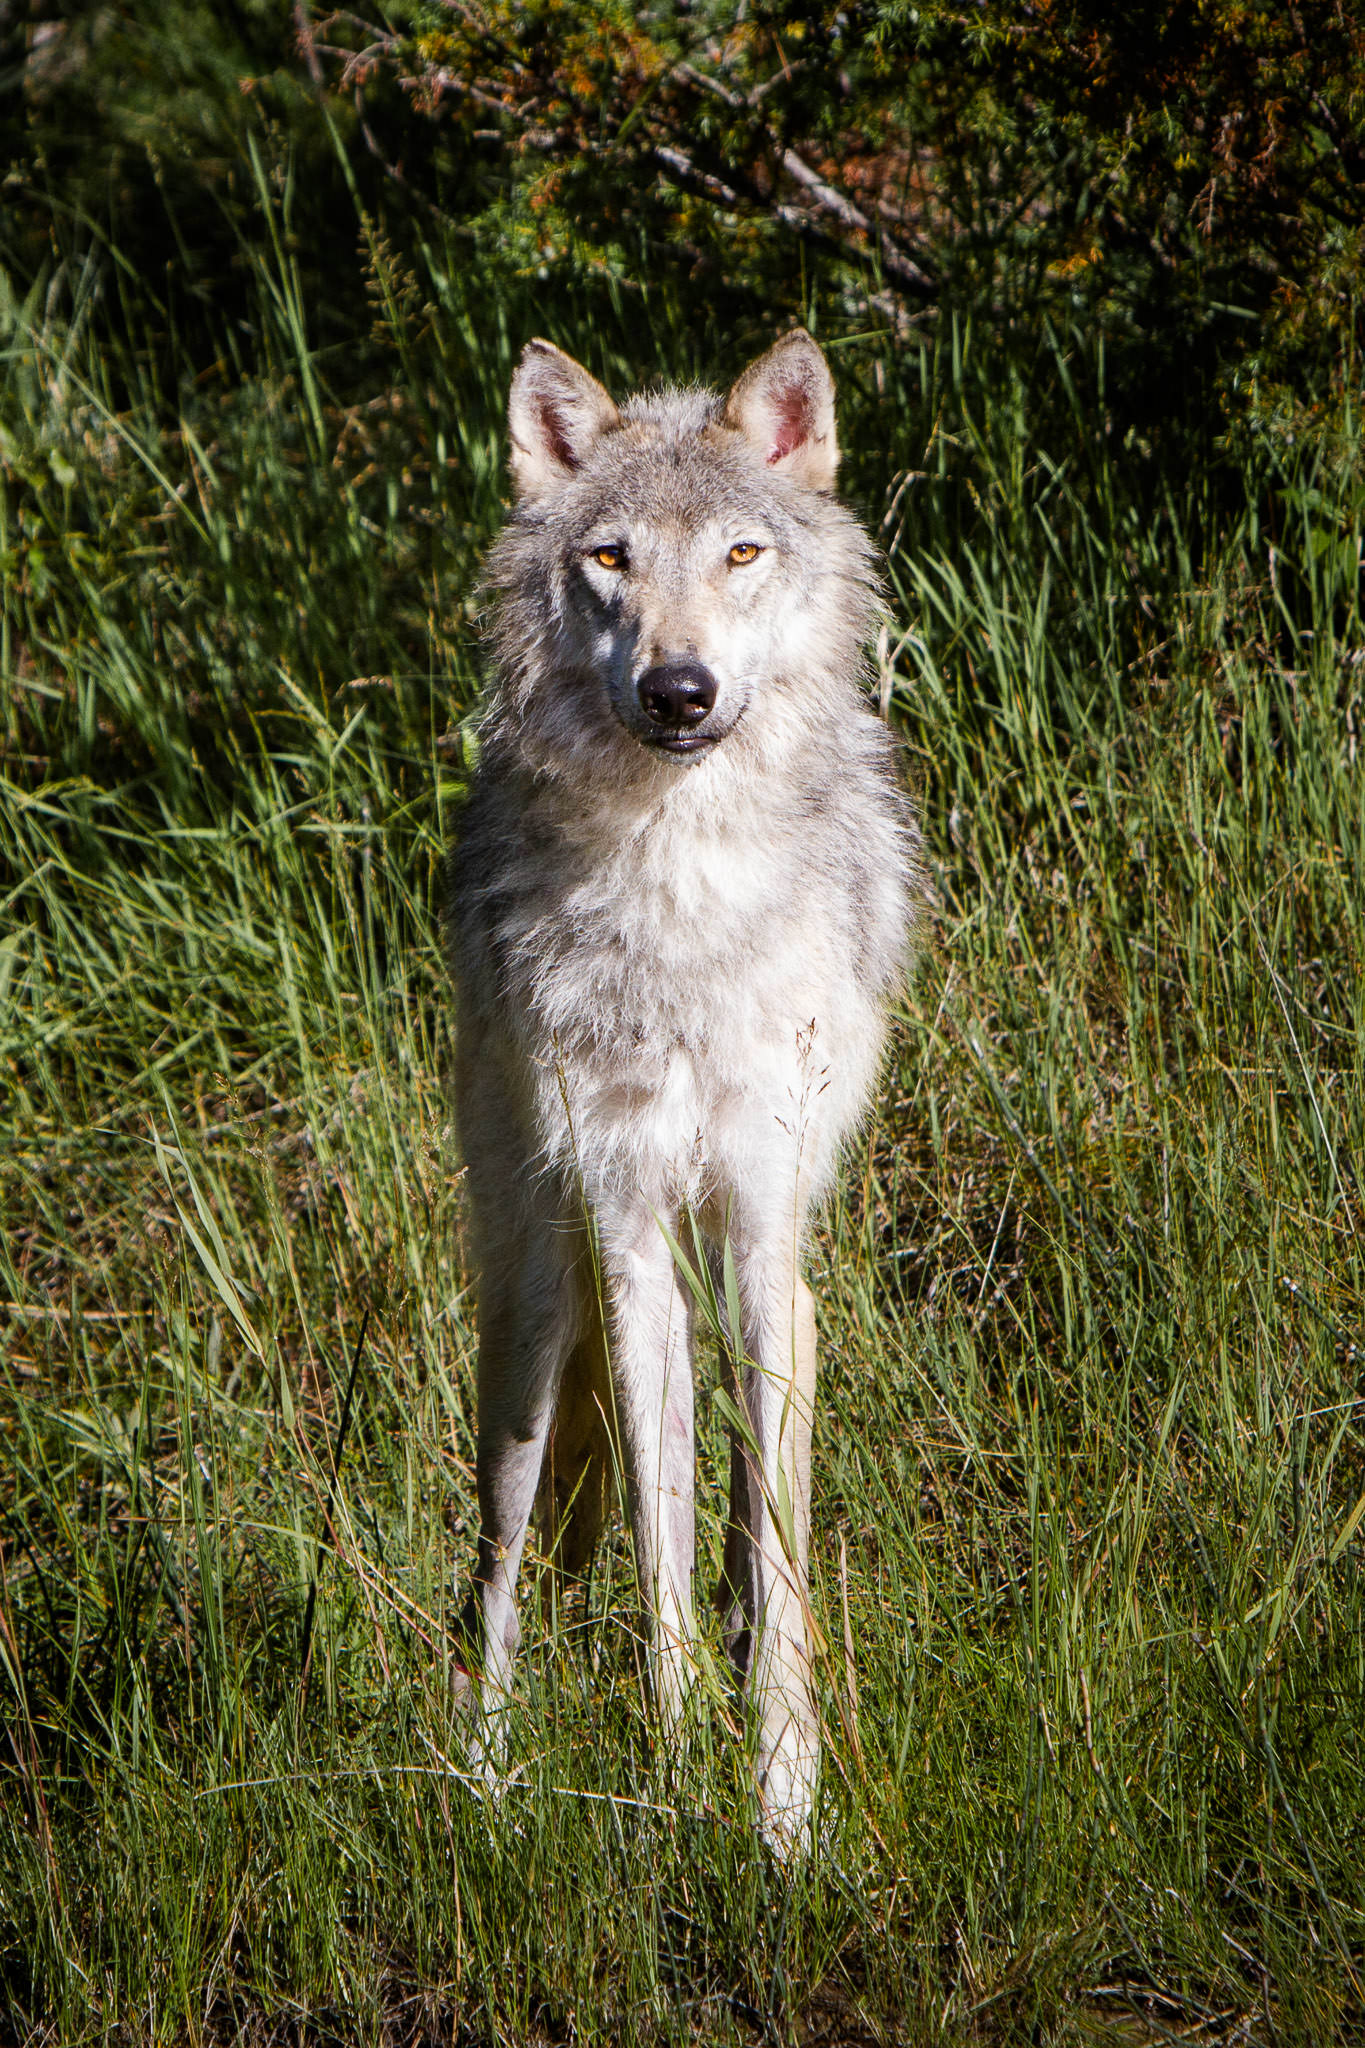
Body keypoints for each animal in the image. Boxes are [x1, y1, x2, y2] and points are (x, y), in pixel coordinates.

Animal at [454, 331, 925, 1843]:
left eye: (738, 554)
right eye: (609, 557)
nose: (678, 691)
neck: (683, 881)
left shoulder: (766, 1229)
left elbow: (769, 1550)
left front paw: (783, 1806)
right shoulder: (630, 1232)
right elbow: (652, 1560)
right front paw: (670, 1782)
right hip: (534, 1314)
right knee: (496, 1567)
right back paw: (480, 1787)